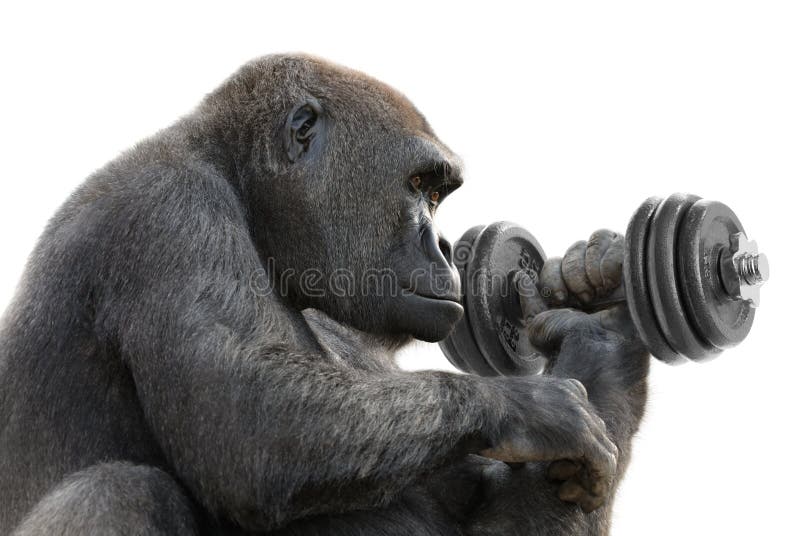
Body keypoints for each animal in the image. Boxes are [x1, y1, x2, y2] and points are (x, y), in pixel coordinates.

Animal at [0, 54, 648, 535]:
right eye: (420, 185)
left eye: (438, 194)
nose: (442, 244)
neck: (240, 184)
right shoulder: (168, 211)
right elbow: (250, 425)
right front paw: (527, 406)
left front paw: (603, 342)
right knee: (120, 490)